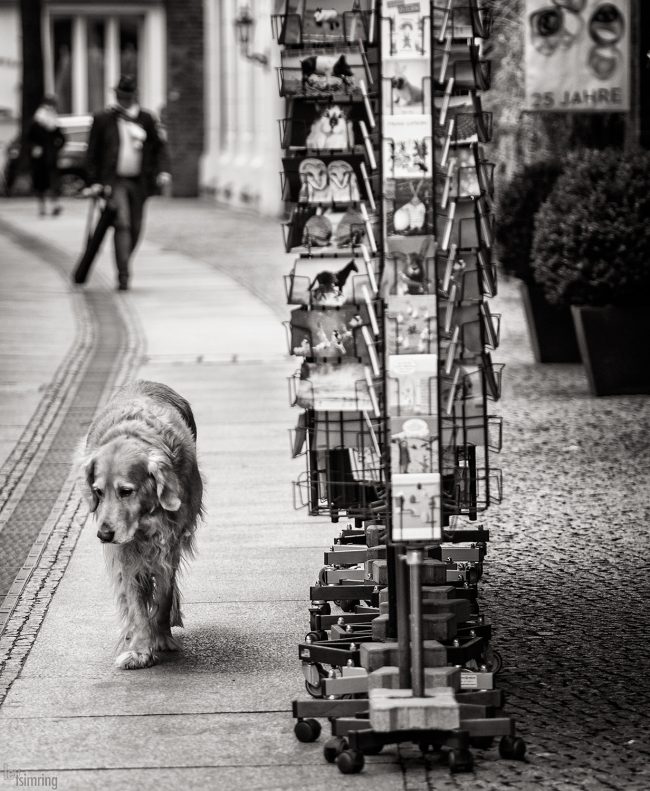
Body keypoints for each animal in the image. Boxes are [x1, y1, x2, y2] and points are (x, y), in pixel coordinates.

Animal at [79, 380, 204, 672]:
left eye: (126, 491)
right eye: (98, 492)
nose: (103, 534)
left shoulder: (171, 543)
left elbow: (164, 593)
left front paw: (161, 636)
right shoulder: (125, 552)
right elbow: (135, 601)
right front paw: (139, 649)